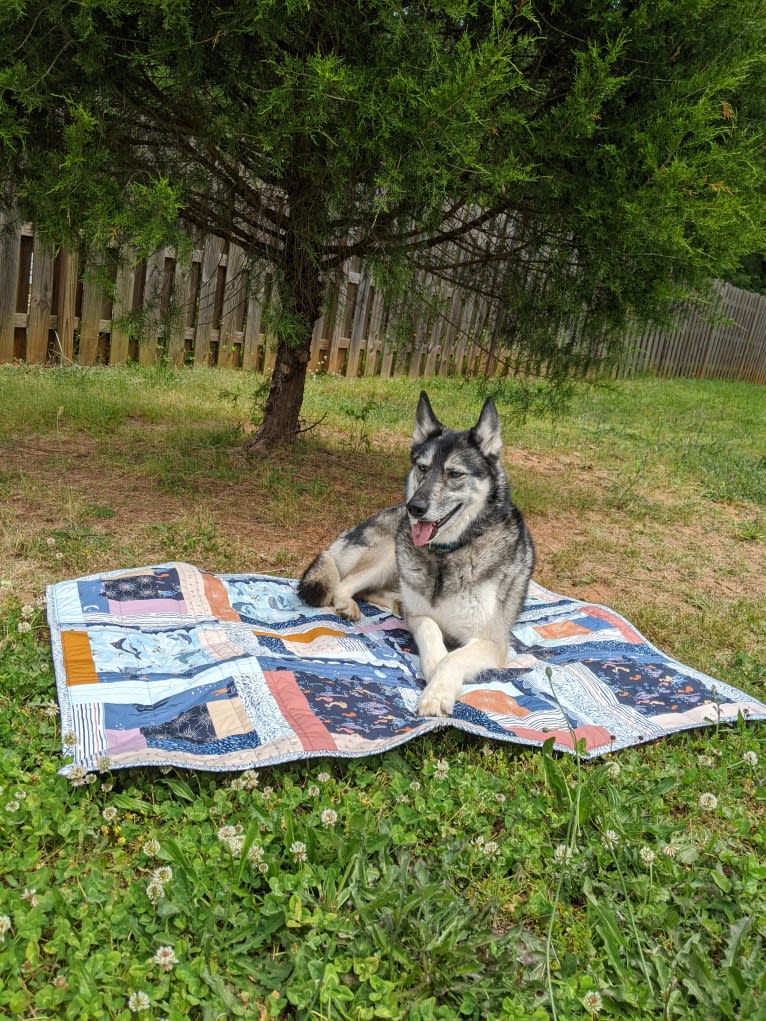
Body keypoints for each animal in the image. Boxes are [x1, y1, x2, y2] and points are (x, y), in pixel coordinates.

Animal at [296, 390, 535, 718]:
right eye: (422, 468)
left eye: (454, 473)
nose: (415, 508)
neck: (447, 555)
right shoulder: (421, 617)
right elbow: (433, 633)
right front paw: (433, 670)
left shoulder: (492, 640)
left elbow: (454, 658)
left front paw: (437, 692)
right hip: (390, 552)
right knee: (344, 584)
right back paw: (349, 605)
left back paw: (393, 602)